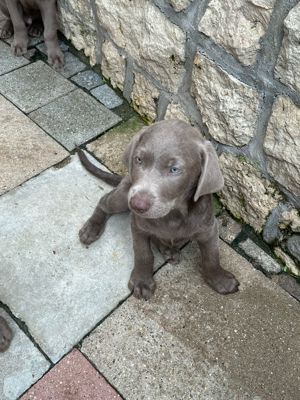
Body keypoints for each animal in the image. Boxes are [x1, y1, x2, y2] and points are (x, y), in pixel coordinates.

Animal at [77, 119, 239, 300]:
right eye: (139, 159)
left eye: (174, 169)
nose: (137, 204)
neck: (173, 214)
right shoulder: (138, 226)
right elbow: (143, 254)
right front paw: (142, 282)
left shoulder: (209, 229)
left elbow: (212, 256)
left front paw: (220, 280)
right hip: (123, 196)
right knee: (104, 201)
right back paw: (91, 228)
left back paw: (169, 250)